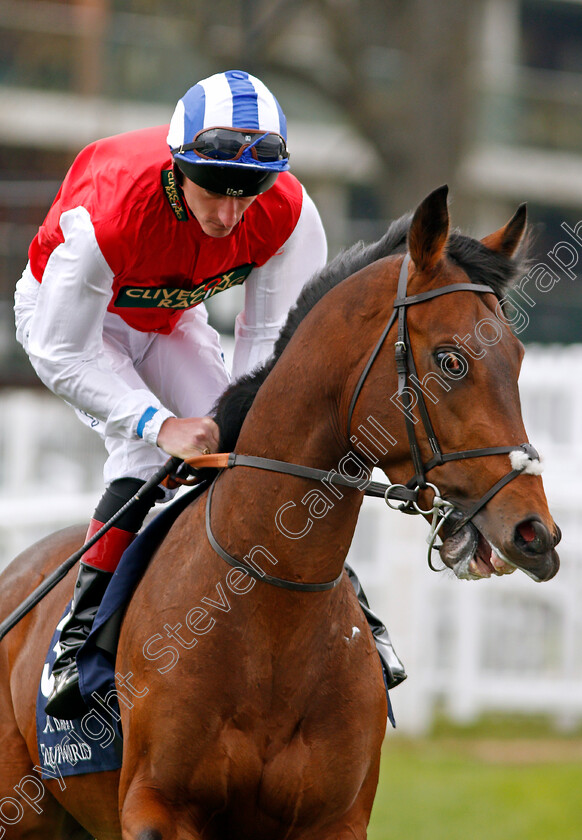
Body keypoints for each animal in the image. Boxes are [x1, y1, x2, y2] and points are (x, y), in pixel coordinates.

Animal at [0, 187, 560, 836]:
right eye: (451, 361)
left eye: (517, 356)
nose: (536, 534)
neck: (269, 609)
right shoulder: (157, 807)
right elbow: (64, 351)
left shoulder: (335, 819)